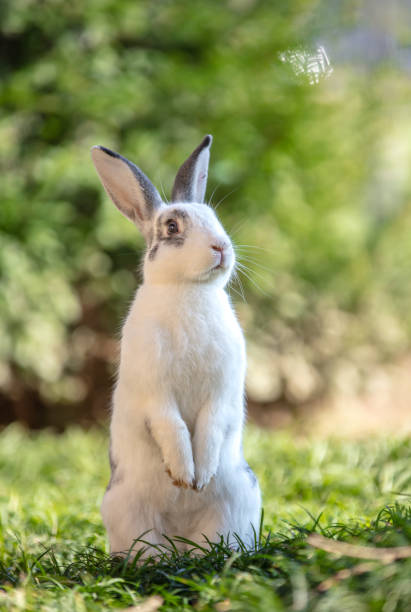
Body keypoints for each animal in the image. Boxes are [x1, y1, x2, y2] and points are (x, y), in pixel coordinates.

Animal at [91, 136, 262, 556]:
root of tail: (181, 540)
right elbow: (172, 427)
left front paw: (200, 477)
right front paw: (185, 474)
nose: (221, 247)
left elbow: (211, 425)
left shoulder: (222, 391)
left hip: (239, 502)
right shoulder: (155, 393)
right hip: (127, 511)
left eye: (215, 219)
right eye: (172, 226)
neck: (189, 290)